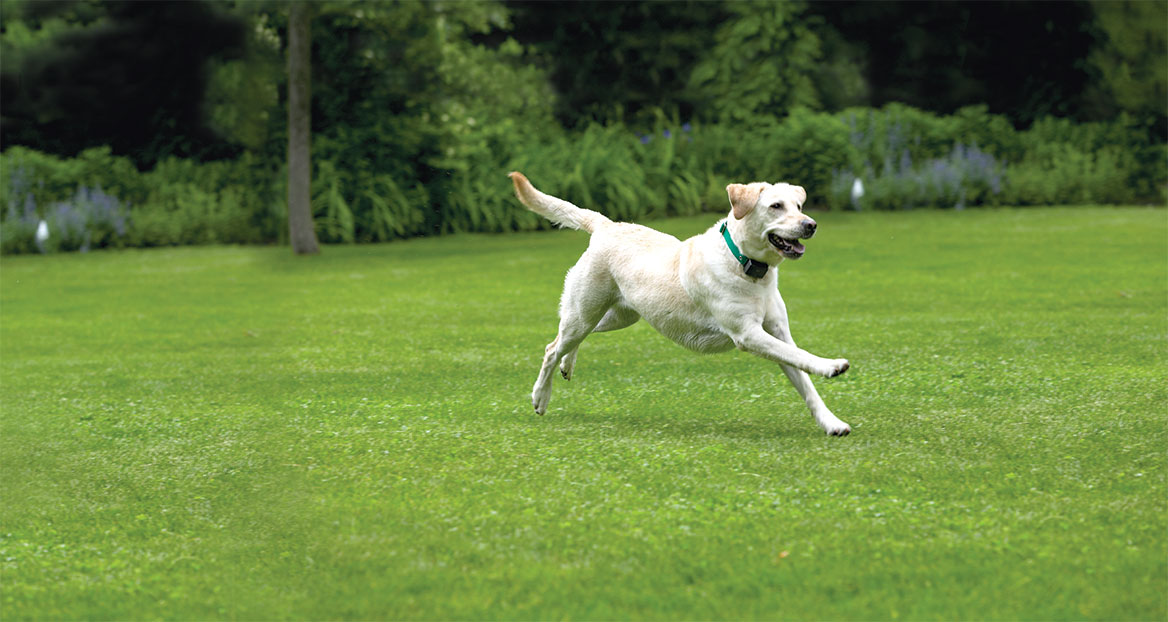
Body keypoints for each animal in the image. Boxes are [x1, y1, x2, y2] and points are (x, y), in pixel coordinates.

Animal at [506, 166, 854, 434]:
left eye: (799, 206)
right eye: (776, 206)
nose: (811, 225)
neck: (744, 264)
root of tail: (606, 226)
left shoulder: (778, 330)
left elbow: (804, 381)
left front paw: (832, 423)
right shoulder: (748, 335)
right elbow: (802, 357)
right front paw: (831, 366)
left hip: (617, 316)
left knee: (567, 340)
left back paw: (568, 365)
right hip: (584, 312)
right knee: (552, 348)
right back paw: (540, 397)